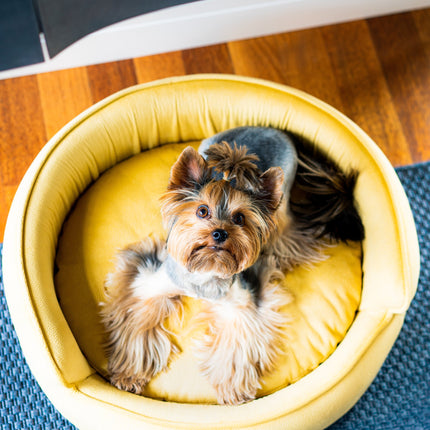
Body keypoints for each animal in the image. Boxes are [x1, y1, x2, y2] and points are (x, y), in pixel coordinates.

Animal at [100, 126, 362, 404]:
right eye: (202, 211)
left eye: (239, 218)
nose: (219, 233)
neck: (206, 270)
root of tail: (274, 131)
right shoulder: (151, 282)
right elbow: (137, 322)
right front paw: (128, 374)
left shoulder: (240, 304)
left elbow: (236, 344)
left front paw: (232, 390)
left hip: (281, 207)